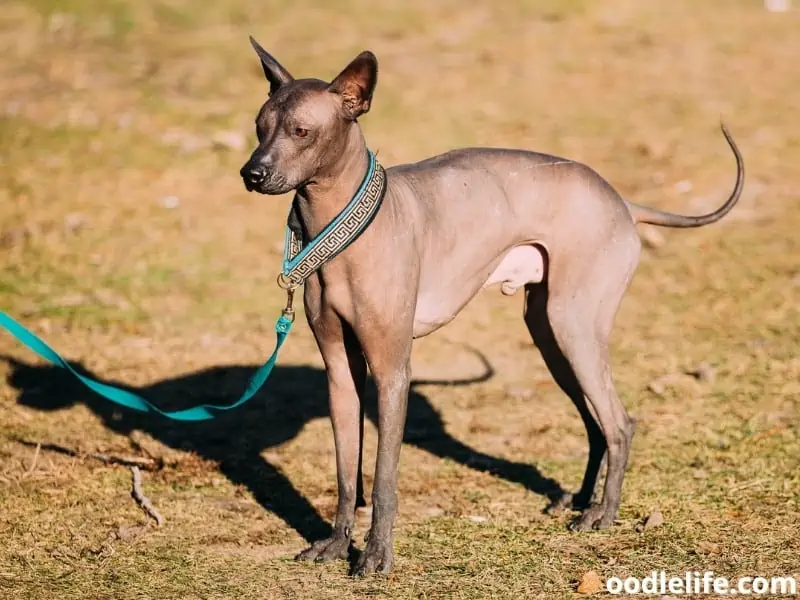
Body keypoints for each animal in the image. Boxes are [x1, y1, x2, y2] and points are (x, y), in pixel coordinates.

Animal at [238, 38, 744, 576]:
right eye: (259, 125)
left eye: (302, 131)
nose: (252, 172)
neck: (338, 230)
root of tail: (623, 202)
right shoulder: (340, 369)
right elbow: (346, 471)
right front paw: (336, 545)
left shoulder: (393, 370)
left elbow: (383, 477)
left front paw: (375, 556)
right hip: (550, 335)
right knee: (595, 424)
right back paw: (581, 500)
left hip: (574, 327)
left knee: (619, 424)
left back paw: (602, 515)